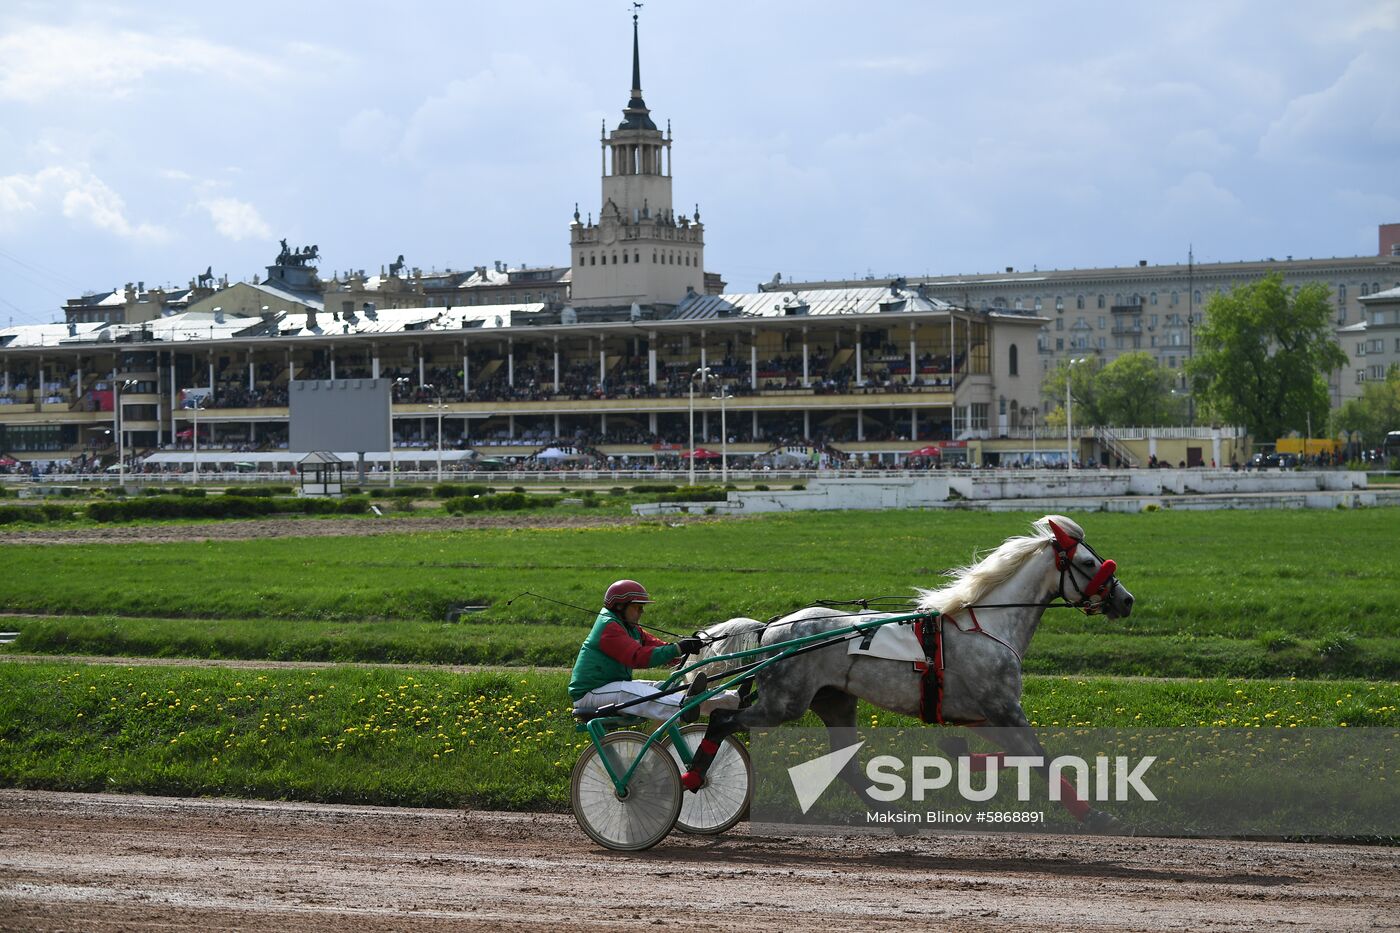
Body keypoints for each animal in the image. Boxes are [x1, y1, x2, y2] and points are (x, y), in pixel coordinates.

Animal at [683, 515, 1131, 829]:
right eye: (1088, 561)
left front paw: (959, 752)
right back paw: (692, 776)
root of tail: (772, 627)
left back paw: (899, 823)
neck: (988, 624)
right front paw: (1097, 816)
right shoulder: (1004, 708)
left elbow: (1018, 756)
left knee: (845, 764)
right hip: (784, 704)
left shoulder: (983, 714)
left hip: (836, 702)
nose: (1125, 600)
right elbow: (1040, 758)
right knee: (721, 719)